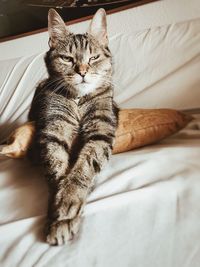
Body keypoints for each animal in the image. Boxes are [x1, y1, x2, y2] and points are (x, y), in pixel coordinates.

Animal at [28, 7, 119, 247]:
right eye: (67, 59)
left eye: (94, 57)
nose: (82, 71)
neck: (78, 100)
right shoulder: (53, 130)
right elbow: (56, 168)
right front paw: (56, 215)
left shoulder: (100, 131)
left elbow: (82, 168)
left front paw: (68, 202)